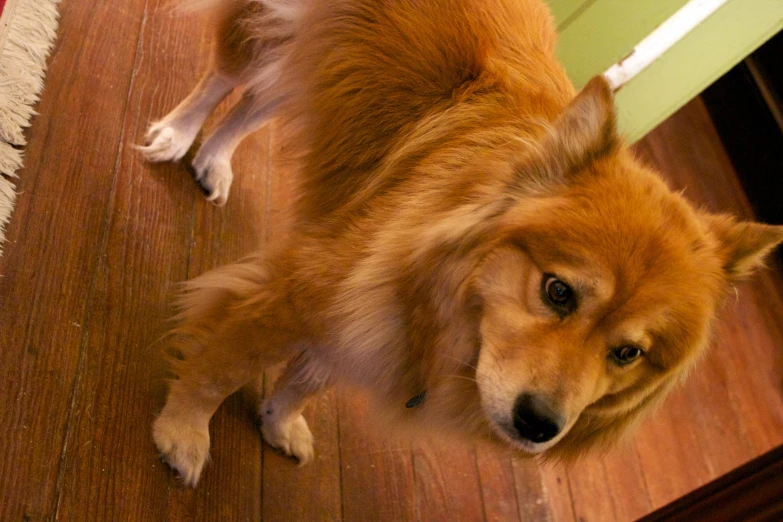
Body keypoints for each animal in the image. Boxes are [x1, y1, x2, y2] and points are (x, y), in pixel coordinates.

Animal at [142, 0, 783, 484]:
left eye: (627, 353)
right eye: (557, 292)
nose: (538, 425)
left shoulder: (363, 320)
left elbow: (310, 377)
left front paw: (279, 419)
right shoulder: (303, 293)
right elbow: (219, 369)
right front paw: (184, 432)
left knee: (254, 103)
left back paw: (214, 159)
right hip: (270, 26)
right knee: (227, 77)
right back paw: (176, 135)